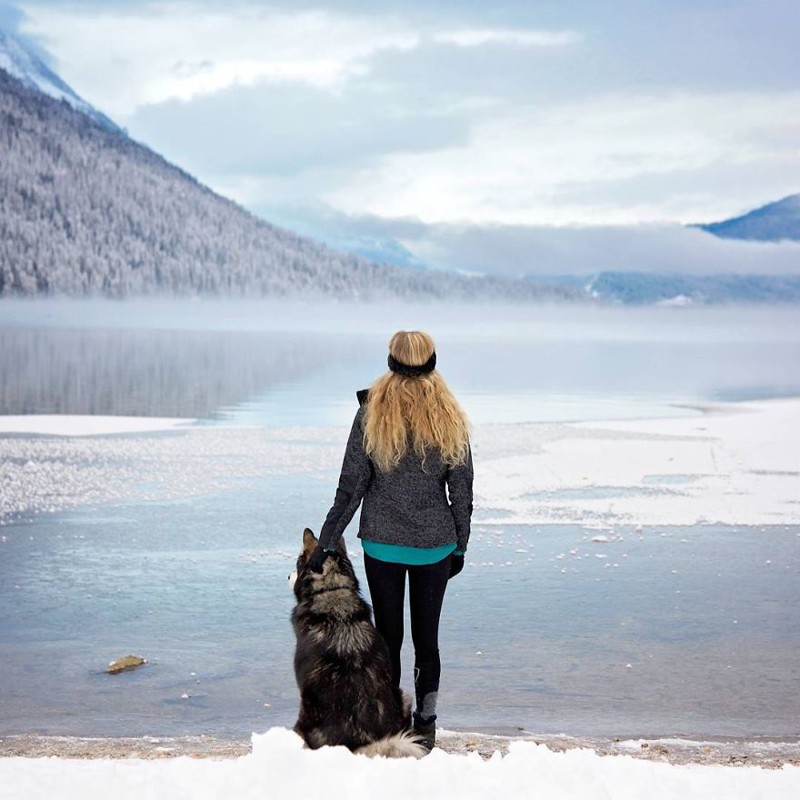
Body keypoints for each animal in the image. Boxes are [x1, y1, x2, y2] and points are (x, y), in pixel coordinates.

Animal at [288, 528, 424, 760]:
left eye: (298, 561)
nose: (288, 576)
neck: (333, 590)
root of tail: (362, 742)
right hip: (403, 695)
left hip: (306, 711)